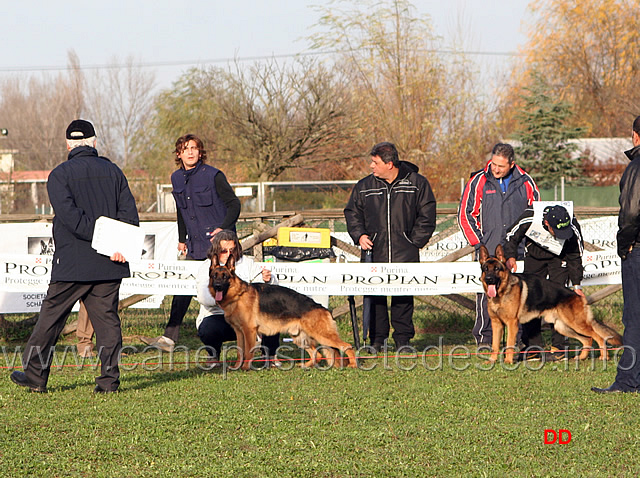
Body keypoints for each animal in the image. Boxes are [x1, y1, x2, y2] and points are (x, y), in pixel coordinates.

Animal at [211, 254, 358, 370]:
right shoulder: (239, 332)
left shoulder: (248, 331)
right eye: (214, 276)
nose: (217, 286)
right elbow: (239, 352)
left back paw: (353, 365)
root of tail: (323, 308)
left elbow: (247, 352)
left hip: (322, 335)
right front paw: (237, 367)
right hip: (300, 338)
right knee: (318, 354)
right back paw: (305, 365)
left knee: (347, 346)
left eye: (225, 276)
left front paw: (246, 367)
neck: (238, 295)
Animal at [480, 245, 620, 364]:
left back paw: (604, 357)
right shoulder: (496, 324)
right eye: (486, 269)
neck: (501, 293)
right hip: (563, 327)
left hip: (577, 324)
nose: (489, 279)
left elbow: (509, 344)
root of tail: (578, 295)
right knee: (588, 339)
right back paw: (581, 357)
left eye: (497, 269)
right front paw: (492, 361)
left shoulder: (511, 324)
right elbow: (495, 345)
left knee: (598, 337)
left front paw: (508, 362)